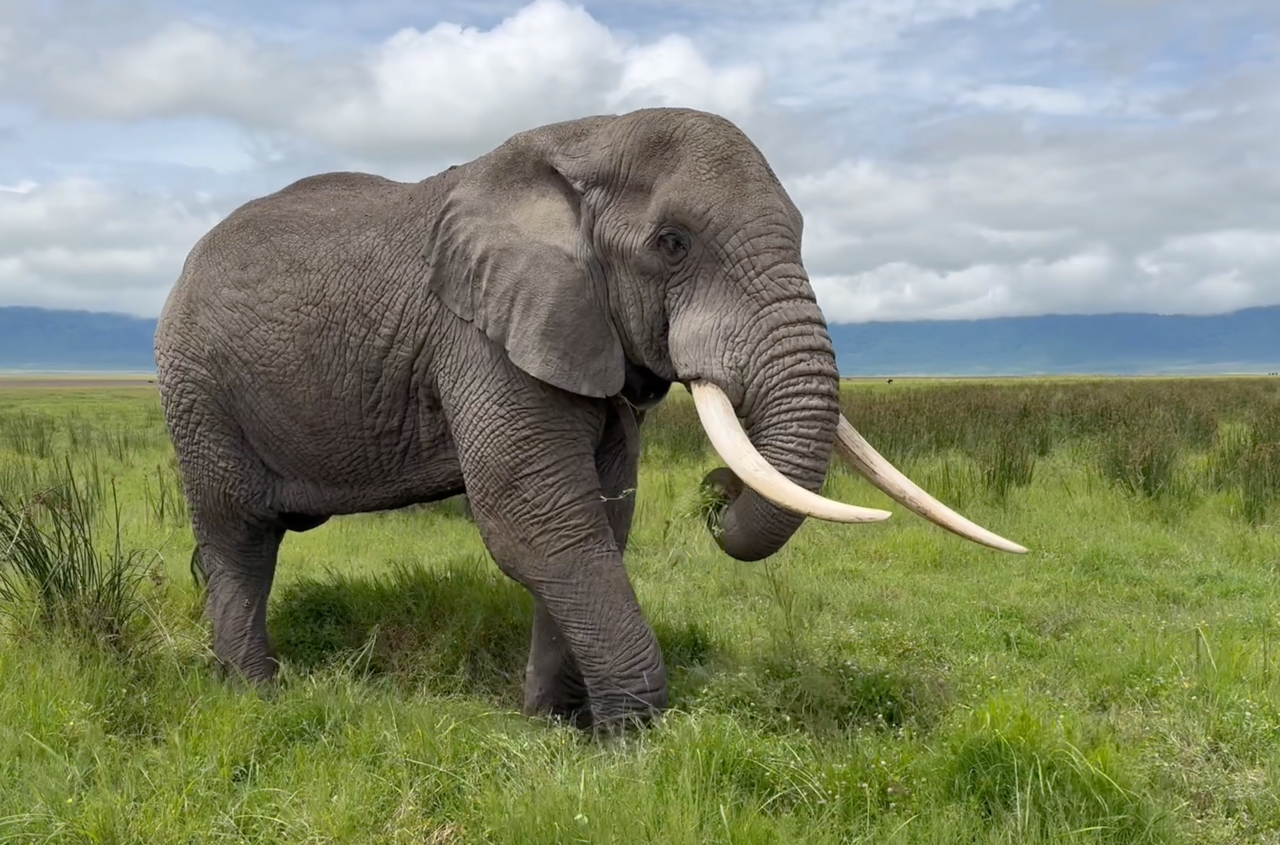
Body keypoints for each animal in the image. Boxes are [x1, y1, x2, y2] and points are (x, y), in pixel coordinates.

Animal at [154, 107, 1025, 731]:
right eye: (672, 243)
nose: (714, 491)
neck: (586, 139)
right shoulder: (478, 333)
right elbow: (536, 518)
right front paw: (632, 739)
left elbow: (600, 513)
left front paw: (556, 727)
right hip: (196, 387)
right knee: (239, 536)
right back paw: (254, 696)